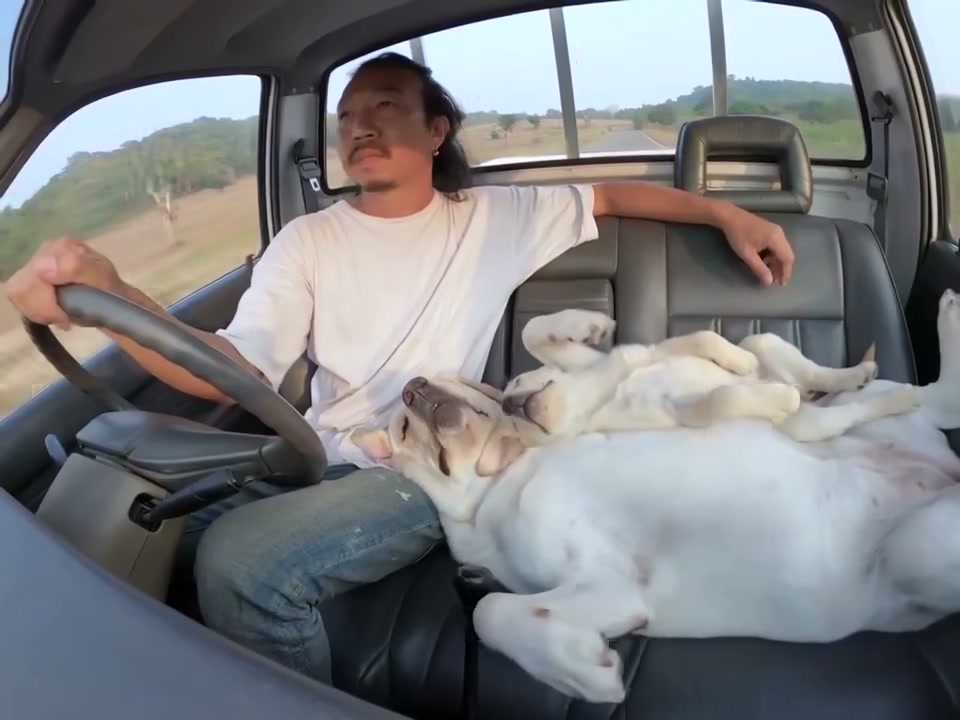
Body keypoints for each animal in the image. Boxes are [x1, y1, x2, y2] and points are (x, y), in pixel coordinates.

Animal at [503, 308, 920, 445]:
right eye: (518, 433)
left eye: (513, 384)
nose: (508, 405)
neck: (591, 394)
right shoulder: (682, 413)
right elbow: (724, 397)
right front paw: (779, 396)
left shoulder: (654, 351)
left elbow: (532, 330)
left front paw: (593, 325)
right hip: (806, 425)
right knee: (852, 411)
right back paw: (901, 397)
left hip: (762, 339)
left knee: (820, 373)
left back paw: (861, 372)